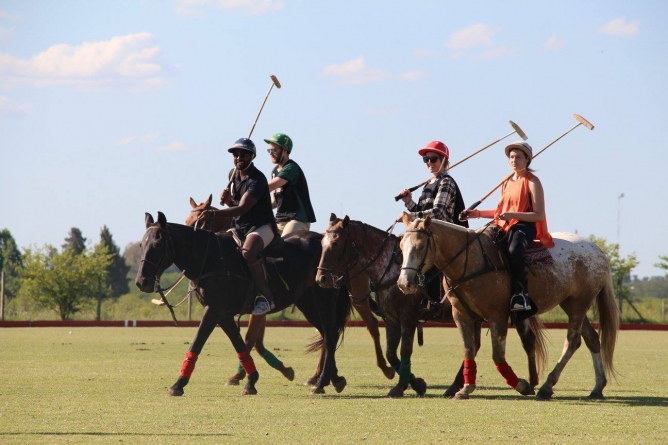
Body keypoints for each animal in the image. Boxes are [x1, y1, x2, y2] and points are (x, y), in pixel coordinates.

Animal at [137, 212, 354, 396]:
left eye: (158, 243)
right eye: (141, 245)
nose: (142, 282)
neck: (209, 258)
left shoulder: (213, 309)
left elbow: (198, 342)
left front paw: (178, 384)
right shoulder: (223, 314)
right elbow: (239, 344)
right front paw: (251, 381)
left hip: (324, 296)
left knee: (330, 334)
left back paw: (321, 382)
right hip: (307, 302)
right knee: (328, 334)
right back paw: (333, 379)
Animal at [185, 194, 394, 382]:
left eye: (200, 221)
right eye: (187, 221)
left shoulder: (260, 304)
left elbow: (250, 339)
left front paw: (240, 376)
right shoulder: (260, 307)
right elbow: (257, 342)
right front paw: (282, 370)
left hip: (355, 294)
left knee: (370, 326)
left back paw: (385, 368)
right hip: (309, 301)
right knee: (327, 332)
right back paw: (318, 376)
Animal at [318, 213, 548, 398]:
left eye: (336, 243)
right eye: (321, 243)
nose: (321, 278)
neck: (390, 269)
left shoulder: (408, 317)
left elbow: (405, 350)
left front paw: (404, 385)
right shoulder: (391, 319)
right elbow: (392, 353)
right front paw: (415, 382)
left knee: (516, 342)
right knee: (480, 345)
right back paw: (457, 386)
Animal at [396, 215, 620, 398]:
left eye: (420, 246)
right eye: (400, 246)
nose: (404, 283)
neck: (470, 261)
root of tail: (599, 251)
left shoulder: (497, 315)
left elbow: (497, 355)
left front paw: (522, 385)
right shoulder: (461, 315)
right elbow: (469, 349)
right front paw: (465, 388)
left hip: (580, 302)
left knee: (572, 341)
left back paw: (547, 387)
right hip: (570, 302)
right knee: (592, 338)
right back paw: (597, 387)